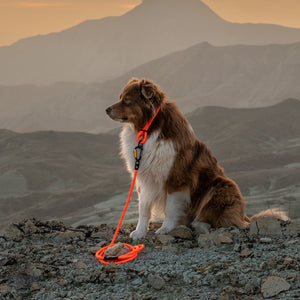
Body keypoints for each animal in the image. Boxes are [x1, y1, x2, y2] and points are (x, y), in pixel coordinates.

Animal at [105, 78, 286, 240]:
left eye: (126, 100)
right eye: (120, 97)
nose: (106, 109)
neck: (150, 129)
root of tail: (243, 215)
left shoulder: (176, 179)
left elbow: (170, 208)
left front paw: (165, 229)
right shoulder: (144, 179)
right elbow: (143, 209)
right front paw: (139, 232)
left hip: (221, 185)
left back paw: (198, 224)